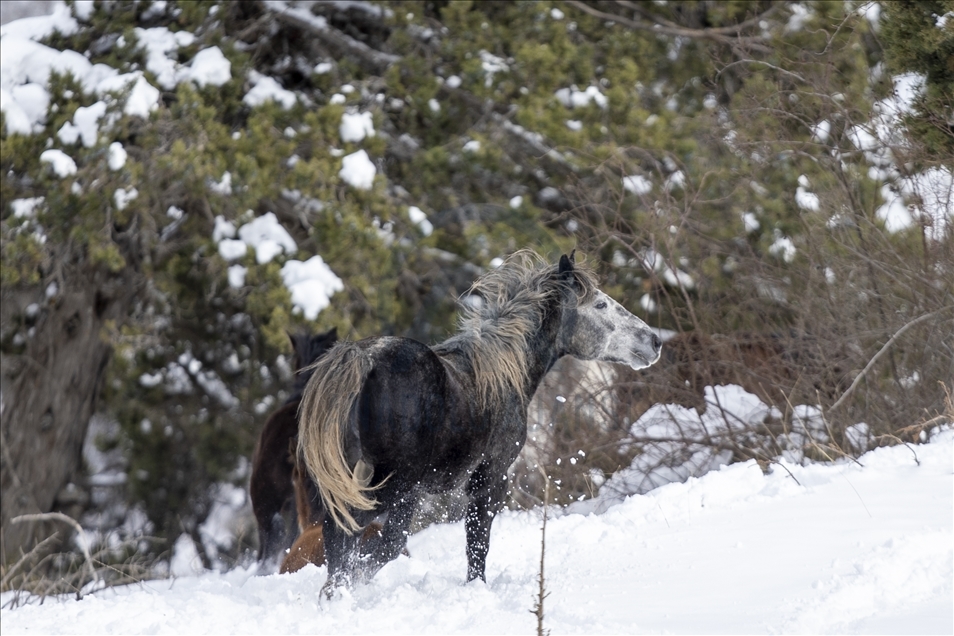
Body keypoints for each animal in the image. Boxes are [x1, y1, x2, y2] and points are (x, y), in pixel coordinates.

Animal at [300, 250, 660, 592]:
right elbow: (477, 545)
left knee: (342, 539)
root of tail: (365, 358)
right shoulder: (490, 480)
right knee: (372, 541)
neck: (503, 375)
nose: (654, 341)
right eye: (600, 304)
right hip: (394, 487)